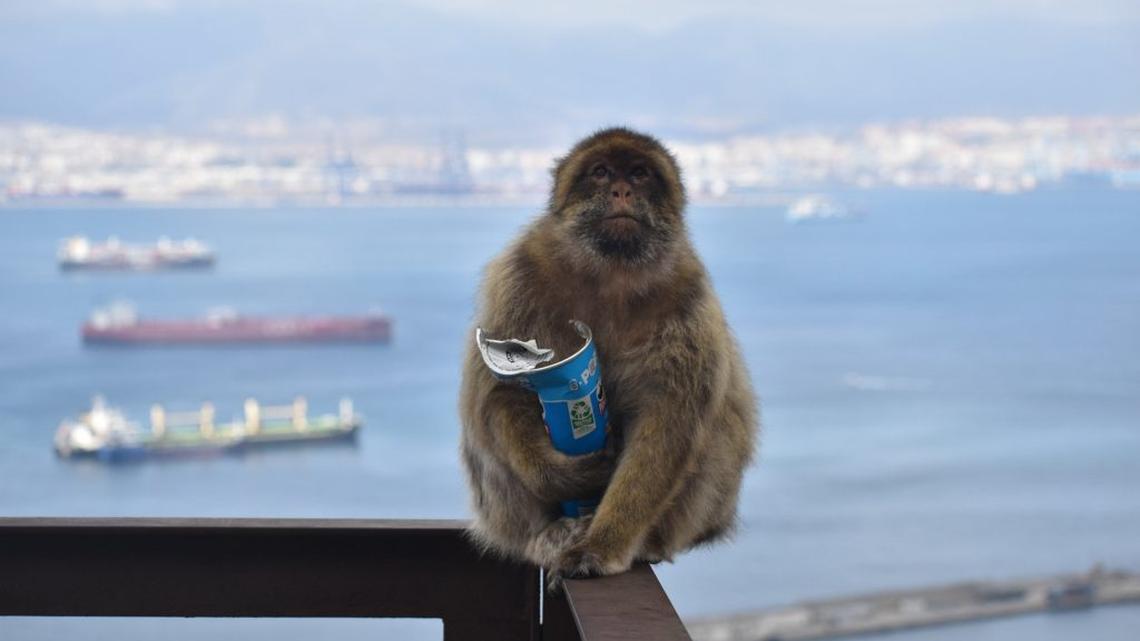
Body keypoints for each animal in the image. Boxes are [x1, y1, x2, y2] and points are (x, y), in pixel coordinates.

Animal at [459, 127, 758, 585]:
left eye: (639, 173)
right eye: (600, 172)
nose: (621, 190)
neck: (611, 274)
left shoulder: (688, 299)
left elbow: (668, 422)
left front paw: (603, 546)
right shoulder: (519, 275)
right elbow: (499, 392)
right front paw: (566, 475)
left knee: (720, 427)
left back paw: (646, 542)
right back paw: (549, 533)